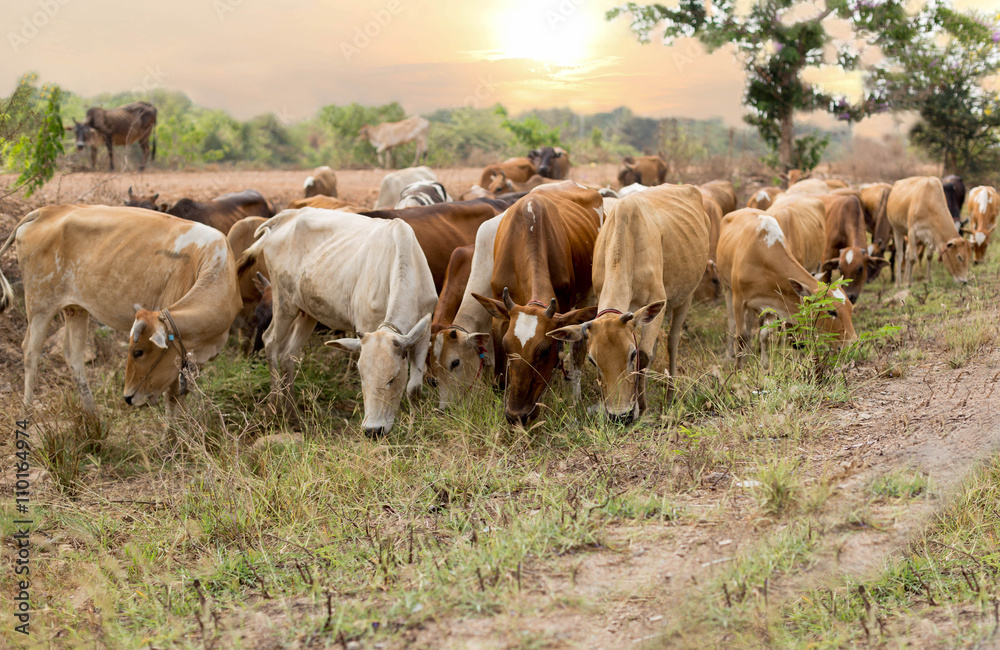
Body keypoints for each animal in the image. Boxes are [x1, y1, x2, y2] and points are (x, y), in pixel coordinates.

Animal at [0, 205, 241, 416]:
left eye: (138, 352)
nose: (128, 397)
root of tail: (45, 211)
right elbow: (172, 398)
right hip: (39, 303)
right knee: (30, 351)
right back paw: (27, 412)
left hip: (75, 308)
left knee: (72, 354)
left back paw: (93, 415)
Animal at [238, 209, 436, 435]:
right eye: (362, 376)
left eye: (393, 378)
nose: (373, 430)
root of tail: (288, 215)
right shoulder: (365, 326)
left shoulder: (424, 333)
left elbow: (414, 388)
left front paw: (415, 430)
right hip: (283, 302)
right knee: (270, 340)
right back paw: (274, 405)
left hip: (306, 312)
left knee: (289, 353)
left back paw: (293, 414)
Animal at [471, 182, 602, 425]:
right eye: (507, 346)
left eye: (544, 351)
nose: (517, 415)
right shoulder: (499, 315)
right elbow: (500, 378)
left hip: (588, 297)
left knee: (577, 354)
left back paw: (574, 393)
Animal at [548, 184, 710, 423]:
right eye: (592, 360)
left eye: (631, 354)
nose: (619, 415)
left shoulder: (657, 301)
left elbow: (645, 354)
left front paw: (642, 407)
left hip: (686, 297)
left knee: (672, 341)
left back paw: (670, 394)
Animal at [716, 208, 856, 369]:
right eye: (832, 312)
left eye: (851, 309)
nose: (853, 344)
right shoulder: (739, 300)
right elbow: (740, 336)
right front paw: (738, 368)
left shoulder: (771, 303)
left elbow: (765, 335)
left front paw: (764, 366)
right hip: (727, 288)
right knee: (732, 325)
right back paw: (730, 355)